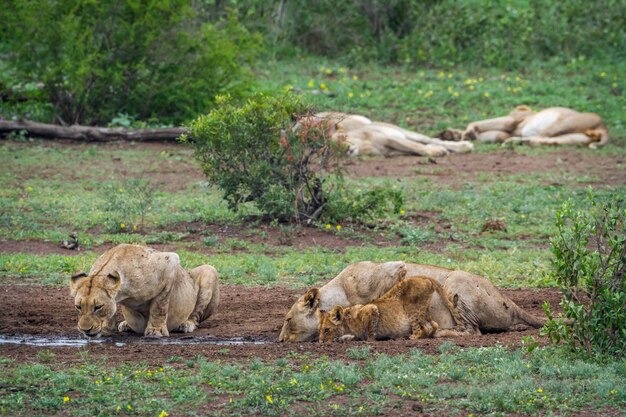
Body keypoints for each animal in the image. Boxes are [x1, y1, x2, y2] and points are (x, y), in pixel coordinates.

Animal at [68, 242, 218, 336]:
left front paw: (156, 331)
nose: (85, 330)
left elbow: (159, 307)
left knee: (195, 316)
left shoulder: (170, 262)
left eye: (98, 307)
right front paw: (106, 329)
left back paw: (185, 324)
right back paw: (126, 325)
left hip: (210, 270)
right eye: (78, 307)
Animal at [294, 111, 470, 157]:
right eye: (332, 149)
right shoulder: (389, 151)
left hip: (403, 132)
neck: (362, 145)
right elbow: (414, 149)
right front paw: (435, 151)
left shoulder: (389, 138)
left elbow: (417, 147)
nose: (347, 150)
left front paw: (437, 152)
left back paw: (463, 146)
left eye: (341, 139)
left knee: (429, 139)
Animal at [316, 276, 464, 342]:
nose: (320, 342)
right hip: (424, 309)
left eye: (327, 330)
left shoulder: (371, 309)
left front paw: (369, 340)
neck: (347, 323)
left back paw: (412, 337)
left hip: (412, 309)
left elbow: (370, 331)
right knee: (433, 325)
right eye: (320, 330)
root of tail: (423, 277)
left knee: (422, 328)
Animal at [436, 105, 608, 148]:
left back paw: (512, 143)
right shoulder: (508, 130)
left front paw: (467, 133)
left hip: (561, 124)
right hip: (568, 138)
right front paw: (452, 134)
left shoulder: (512, 121)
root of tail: (604, 127)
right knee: (539, 140)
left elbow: (477, 124)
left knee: (540, 136)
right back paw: (512, 143)